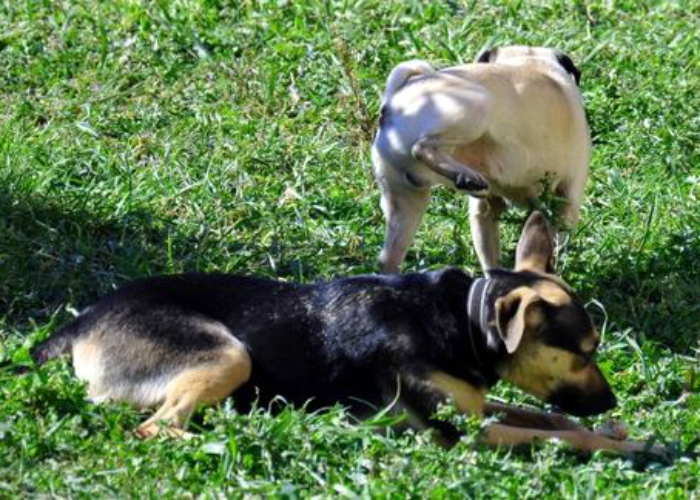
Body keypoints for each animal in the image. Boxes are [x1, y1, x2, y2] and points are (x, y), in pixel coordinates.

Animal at [23, 211, 660, 458]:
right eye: (583, 352)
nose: (611, 400)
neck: (465, 321)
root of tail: (80, 322)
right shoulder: (458, 434)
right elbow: (555, 434)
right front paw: (633, 445)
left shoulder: (477, 404)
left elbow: (549, 418)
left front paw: (615, 431)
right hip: (229, 355)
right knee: (155, 428)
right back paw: (258, 431)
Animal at [372, 46, 592, 274]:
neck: (531, 62)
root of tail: (398, 97)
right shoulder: (568, 199)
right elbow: (557, 243)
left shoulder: (484, 211)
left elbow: (489, 256)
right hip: (479, 106)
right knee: (421, 147)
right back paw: (466, 177)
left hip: (405, 201)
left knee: (388, 258)